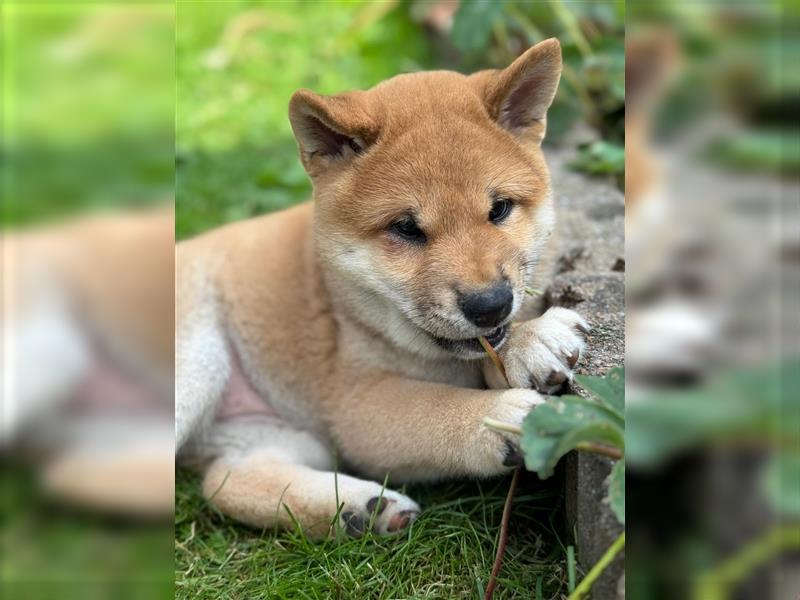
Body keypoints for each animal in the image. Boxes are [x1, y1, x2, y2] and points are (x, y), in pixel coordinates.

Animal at [177, 42, 588, 540]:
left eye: (500, 209)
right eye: (407, 228)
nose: (489, 305)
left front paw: (532, 340)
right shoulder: (354, 401)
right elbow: (430, 408)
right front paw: (501, 419)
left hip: (269, 430)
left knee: (229, 481)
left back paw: (361, 509)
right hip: (195, 361)